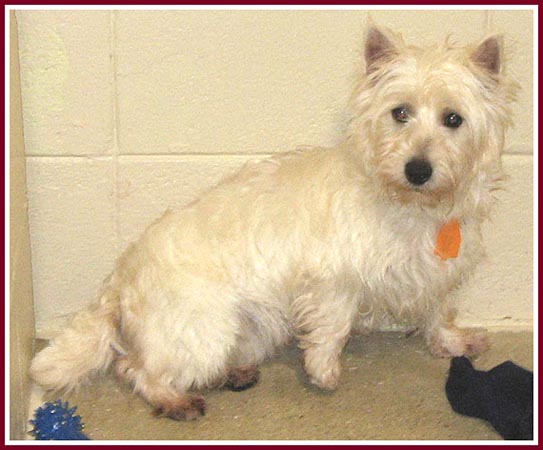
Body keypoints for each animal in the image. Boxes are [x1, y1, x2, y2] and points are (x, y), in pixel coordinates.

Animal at [30, 28, 520, 420]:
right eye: (400, 112)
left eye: (453, 118)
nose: (418, 169)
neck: (408, 203)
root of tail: (119, 280)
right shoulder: (332, 280)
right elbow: (333, 328)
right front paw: (324, 371)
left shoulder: (435, 274)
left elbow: (438, 312)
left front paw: (453, 343)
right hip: (207, 331)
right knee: (134, 368)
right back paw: (176, 401)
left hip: (244, 333)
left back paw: (232, 375)